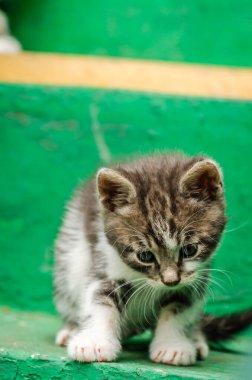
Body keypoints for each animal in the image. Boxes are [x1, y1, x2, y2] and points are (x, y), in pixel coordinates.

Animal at [54, 154, 251, 366]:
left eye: (190, 250)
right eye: (145, 256)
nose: (171, 281)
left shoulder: (196, 278)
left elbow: (179, 308)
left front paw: (172, 346)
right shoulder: (106, 260)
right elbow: (99, 299)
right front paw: (94, 342)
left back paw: (196, 339)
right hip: (70, 254)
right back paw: (71, 329)